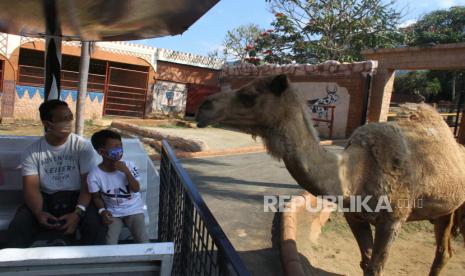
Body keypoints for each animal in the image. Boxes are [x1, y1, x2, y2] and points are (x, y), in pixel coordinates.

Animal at [195, 74, 464, 276]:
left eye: (249, 96)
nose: (204, 106)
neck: (353, 176)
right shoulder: (354, 216)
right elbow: (365, 264)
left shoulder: (393, 219)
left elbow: (376, 268)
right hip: (443, 211)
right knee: (445, 251)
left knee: (443, 251)